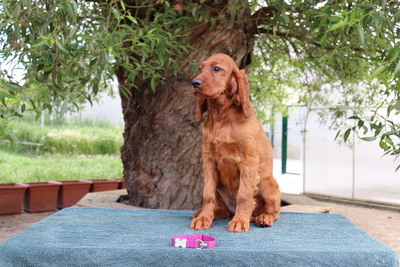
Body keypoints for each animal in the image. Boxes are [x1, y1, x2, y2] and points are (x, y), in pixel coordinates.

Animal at [191, 53, 282, 233]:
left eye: (217, 68)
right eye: (200, 68)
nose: (194, 83)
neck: (221, 117)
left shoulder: (248, 161)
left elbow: (244, 195)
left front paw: (240, 221)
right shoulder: (209, 160)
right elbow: (208, 194)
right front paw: (204, 218)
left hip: (267, 182)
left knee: (274, 212)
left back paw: (263, 218)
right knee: (223, 210)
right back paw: (204, 213)